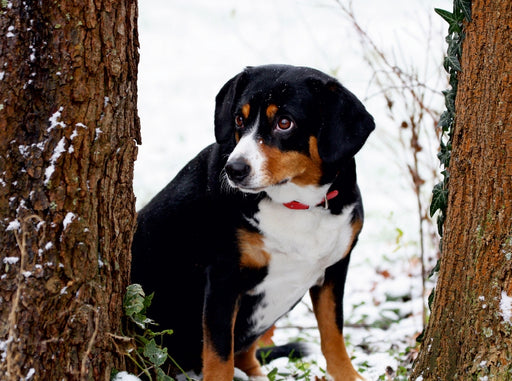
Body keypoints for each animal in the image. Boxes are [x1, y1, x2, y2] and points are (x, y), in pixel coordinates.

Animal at [130, 63, 374, 378]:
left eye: (285, 122)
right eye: (239, 119)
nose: (234, 169)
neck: (298, 205)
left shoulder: (335, 269)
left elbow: (333, 332)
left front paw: (348, 376)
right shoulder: (223, 278)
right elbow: (219, 354)